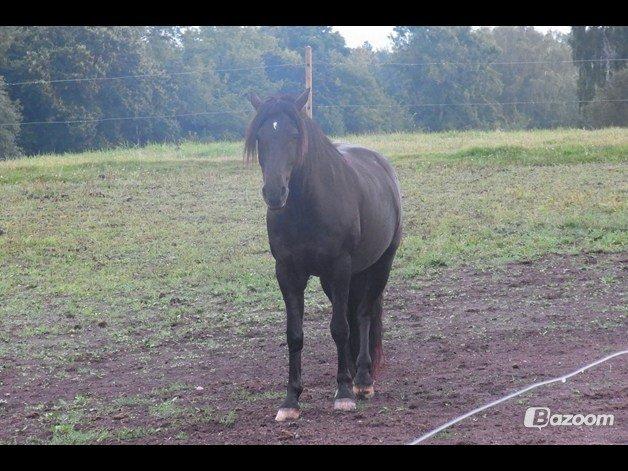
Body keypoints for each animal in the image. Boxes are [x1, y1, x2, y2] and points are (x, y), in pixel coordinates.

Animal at [245, 90, 402, 422]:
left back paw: (362, 380)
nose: (275, 193)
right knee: (354, 315)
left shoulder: (339, 267)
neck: (307, 207)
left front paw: (343, 394)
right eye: (261, 138)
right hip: (340, 280)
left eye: (294, 136)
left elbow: (339, 328)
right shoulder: (288, 273)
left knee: (363, 315)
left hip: (380, 265)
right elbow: (294, 334)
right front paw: (291, 400)